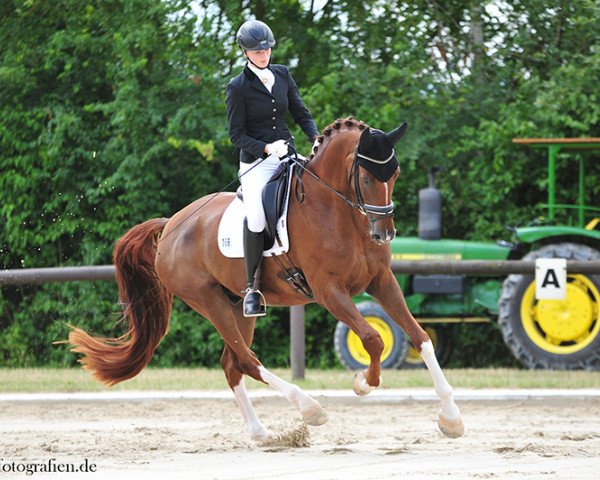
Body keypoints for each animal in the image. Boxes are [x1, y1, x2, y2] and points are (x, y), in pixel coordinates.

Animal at [69, 116, 464, 438]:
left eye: (394, 174)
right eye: (366, 177)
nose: (384, 233)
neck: (338, 212)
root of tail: (170, 226)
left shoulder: (381, 280)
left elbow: (420, 337)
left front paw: (451, 418)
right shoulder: (329, 291)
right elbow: (373, 338)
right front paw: (363, 383)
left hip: (238, 305)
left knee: (232, 365)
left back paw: (262, 434)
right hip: (208, 301)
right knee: (246, 361)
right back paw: (309, 409)